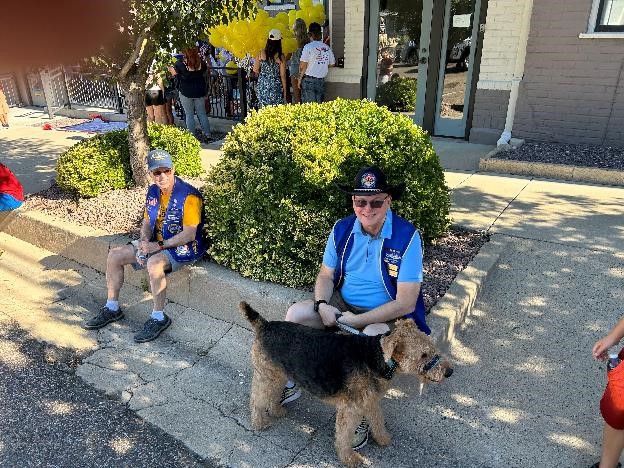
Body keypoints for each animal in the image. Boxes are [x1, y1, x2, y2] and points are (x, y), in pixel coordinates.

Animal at [240, 302, 454, 466]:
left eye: (432, 348)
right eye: (423, 355)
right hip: (267, 375)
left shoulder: (370, 401)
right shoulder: (351, 409)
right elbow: (344, 436)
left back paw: (277, 410)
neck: (376, 358)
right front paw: (350, 459)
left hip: (278, 374)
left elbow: (377, 420)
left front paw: (383, 439)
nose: (449, 372)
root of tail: (264, 325)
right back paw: (259, 423)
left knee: (271, 395)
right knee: (256, 399)